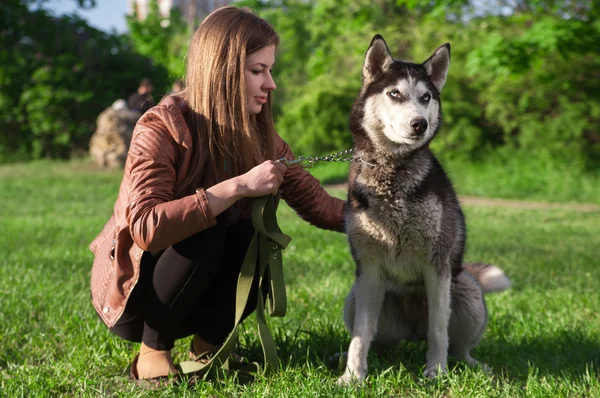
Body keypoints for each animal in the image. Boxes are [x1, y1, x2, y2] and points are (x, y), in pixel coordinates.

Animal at [338, 35, 510, 384]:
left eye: (426, 96)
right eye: (394, 93)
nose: (420, 123)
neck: (392, 174)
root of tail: (410, 334)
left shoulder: (438, 266)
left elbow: (438, 328)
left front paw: (436, 371)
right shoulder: (369, 270)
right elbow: (361, 334)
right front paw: (352, 376)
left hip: (465, 287)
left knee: (457, 346)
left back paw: (473, 365)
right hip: (356, 296)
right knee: (376, 338)